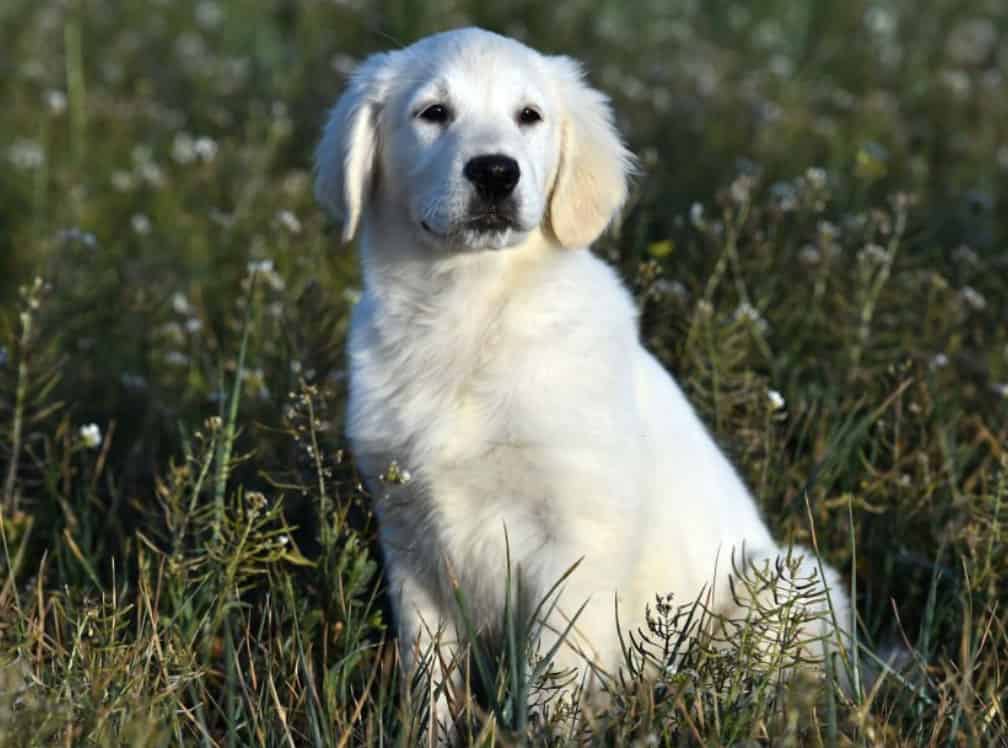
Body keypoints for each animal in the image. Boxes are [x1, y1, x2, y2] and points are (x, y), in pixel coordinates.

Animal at [314, 26, 850, 733]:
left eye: (529, 116)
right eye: (433, 113)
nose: (495, 171)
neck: (471, 312)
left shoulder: (575, 539)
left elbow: (551, 679)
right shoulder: (409, 539)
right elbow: (428, 680)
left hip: (789, 582)